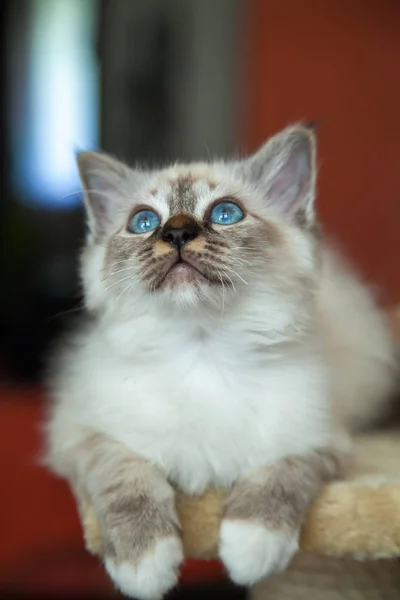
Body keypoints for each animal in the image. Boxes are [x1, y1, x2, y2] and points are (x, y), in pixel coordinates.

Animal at [44, 124, 396, 596]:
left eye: (226, 213)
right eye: (144, 222)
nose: (175, 232)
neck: (203, 349)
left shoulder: (321, 440)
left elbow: (280, 475)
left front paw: (251, 549)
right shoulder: (83, 434)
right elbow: (126, 477)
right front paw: (144, 564)